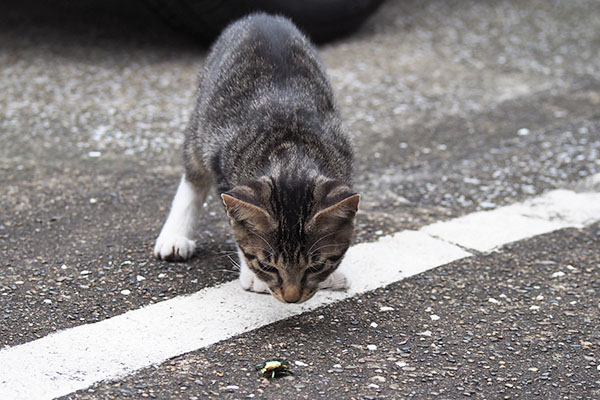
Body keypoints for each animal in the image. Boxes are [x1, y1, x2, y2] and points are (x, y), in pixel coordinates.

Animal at [156, 14, 360, 304]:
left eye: (316, 266)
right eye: (268, 266)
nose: (291, 298)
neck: (291, 154)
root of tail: (262, 16)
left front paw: (333, 275)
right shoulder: (223, 160)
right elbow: (237, 225)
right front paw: (253, 275)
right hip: (202, 126)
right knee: (193, 176)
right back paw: (175, 235)